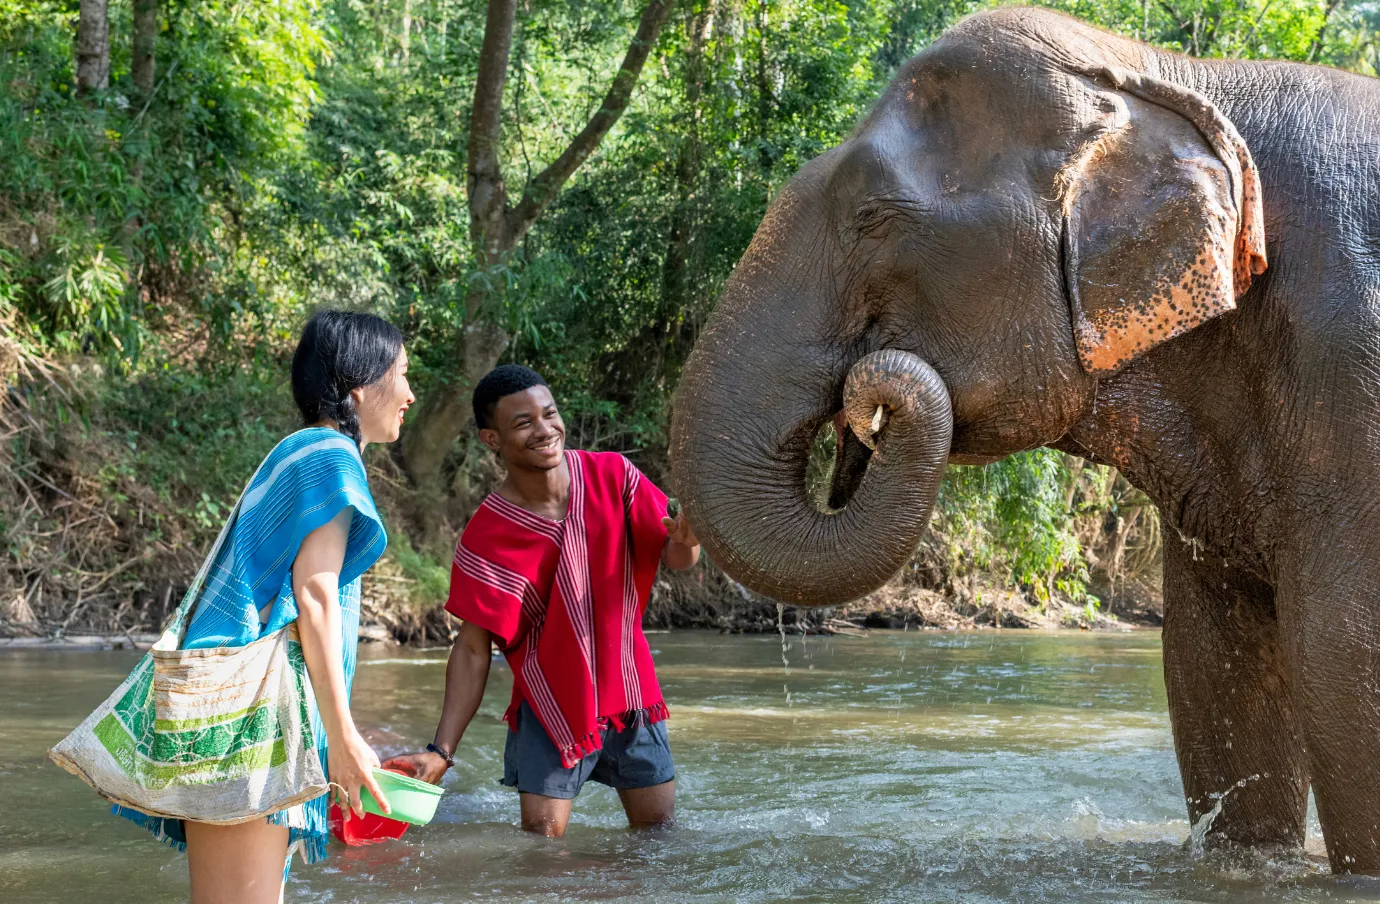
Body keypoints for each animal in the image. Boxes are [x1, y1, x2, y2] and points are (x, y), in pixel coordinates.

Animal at [669, 6, 1380, 874]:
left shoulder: (1355, 363)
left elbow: (1343, 654)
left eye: (872, 218)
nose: (872, 395)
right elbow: (1215, 666)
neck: (1174, 74)